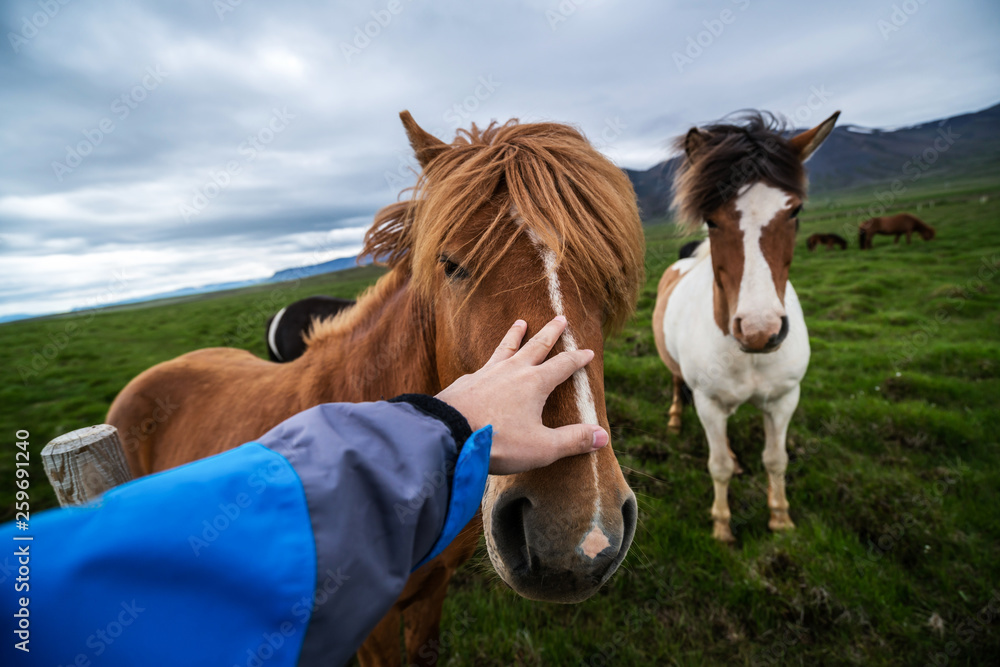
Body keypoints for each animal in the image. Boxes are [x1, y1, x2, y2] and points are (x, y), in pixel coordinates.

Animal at [652, 109, 840, 544]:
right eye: (711, 219)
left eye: (795, 211)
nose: (760, 330)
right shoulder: (708, 404)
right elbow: (717, 465)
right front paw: (722, 526)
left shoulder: (785, 399)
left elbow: (776, 460)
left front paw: (780, 517)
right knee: (676, 383)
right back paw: (675, 418)